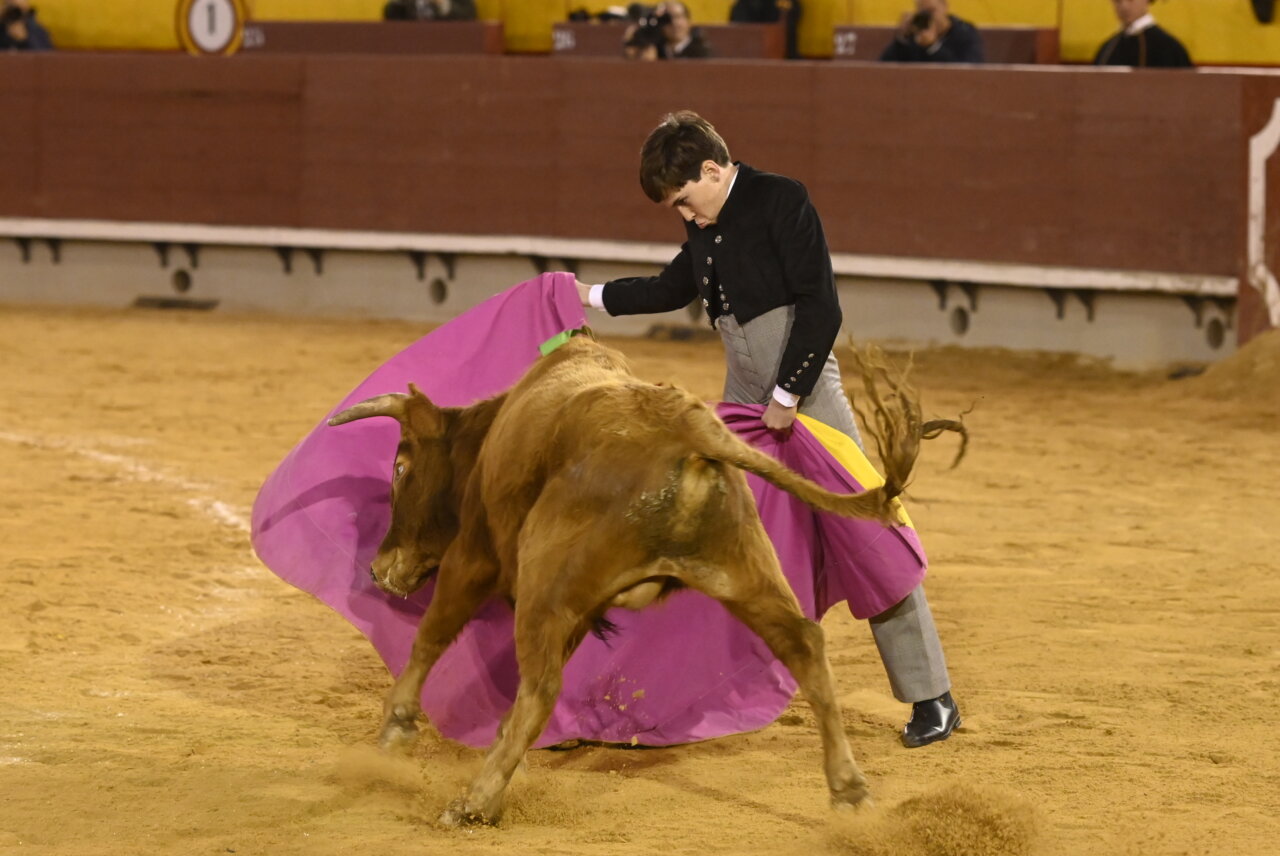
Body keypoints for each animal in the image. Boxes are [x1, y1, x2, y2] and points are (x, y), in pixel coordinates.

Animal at [328, 334, 937, 827]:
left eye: (400, 467)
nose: (378, 569)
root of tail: (686, 426)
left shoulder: (474, 555)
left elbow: (432, 635)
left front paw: (396, 730)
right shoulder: (578, 606)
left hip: (544, 580)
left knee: (541, 685)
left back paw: (473, 803)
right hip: (745, 568)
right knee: (804, 644)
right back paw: (850, 793)